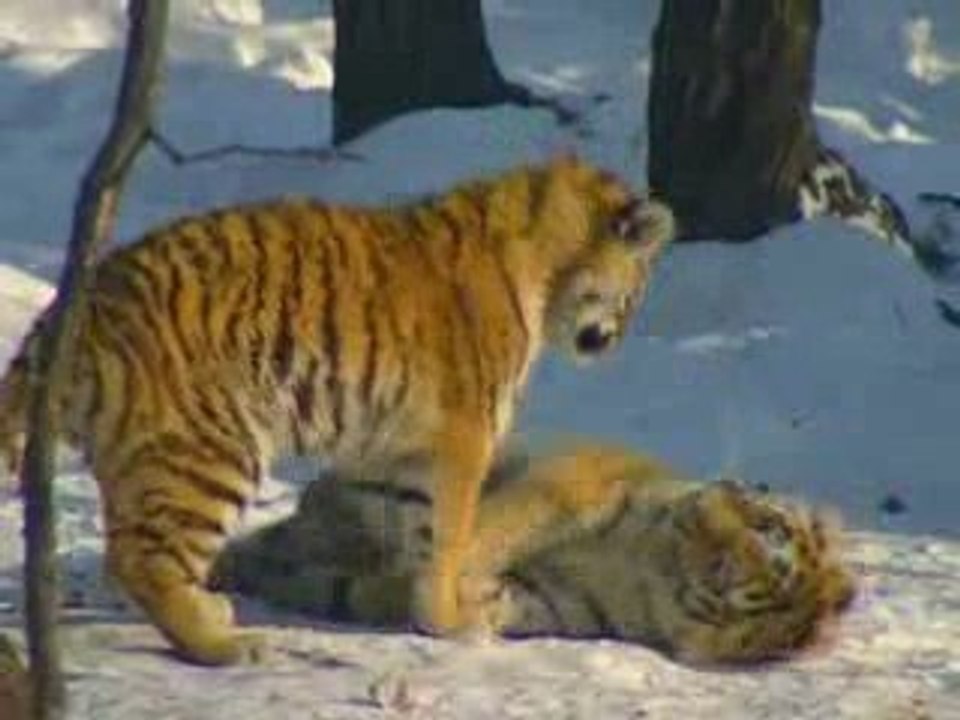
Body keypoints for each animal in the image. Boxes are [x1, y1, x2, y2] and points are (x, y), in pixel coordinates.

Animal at [0, 155, 675, 665]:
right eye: (638, 289)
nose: (614, 341)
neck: (545, 263)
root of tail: (74, 310)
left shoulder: (401, 447)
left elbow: (419, 529)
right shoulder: (464, 436)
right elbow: (452, 534)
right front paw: (453, 621)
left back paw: (213, 615)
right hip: (214, 450)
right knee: (140, 560)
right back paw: (226, 645)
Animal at [215, 438, 857, 665]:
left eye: (738, 588)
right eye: (768, 523)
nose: (709, 517)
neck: (648, 568)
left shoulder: (553, 601)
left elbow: (491, 597)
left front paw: (457, 610)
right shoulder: (567, 483)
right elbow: (486, 532)